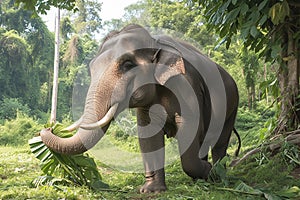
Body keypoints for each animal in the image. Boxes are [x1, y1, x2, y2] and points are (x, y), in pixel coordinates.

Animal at [40, 24, 239, 193]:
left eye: (128, 65)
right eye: (91, 69)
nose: (48, 128)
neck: (155, 42)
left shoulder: (186, 86)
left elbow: (189, 129)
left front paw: (207, 170)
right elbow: (148, 135)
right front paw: (151, 191)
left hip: (232, 104)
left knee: (220, 140)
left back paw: (216, 175)